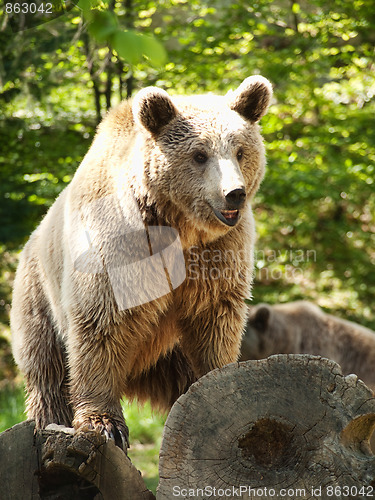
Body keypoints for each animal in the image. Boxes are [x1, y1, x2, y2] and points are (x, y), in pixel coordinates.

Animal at [11, 77, 274, 450]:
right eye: (199, 154)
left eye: (239, 151)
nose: (233, 193)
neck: (180, 229)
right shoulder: (119, 246)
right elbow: (101, 325)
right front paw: (105, 423)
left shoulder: (217, 254)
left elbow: (215, 322)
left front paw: (221, 383)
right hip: (38, 298)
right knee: (47, 371)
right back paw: (49, 419)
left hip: (168, 354)